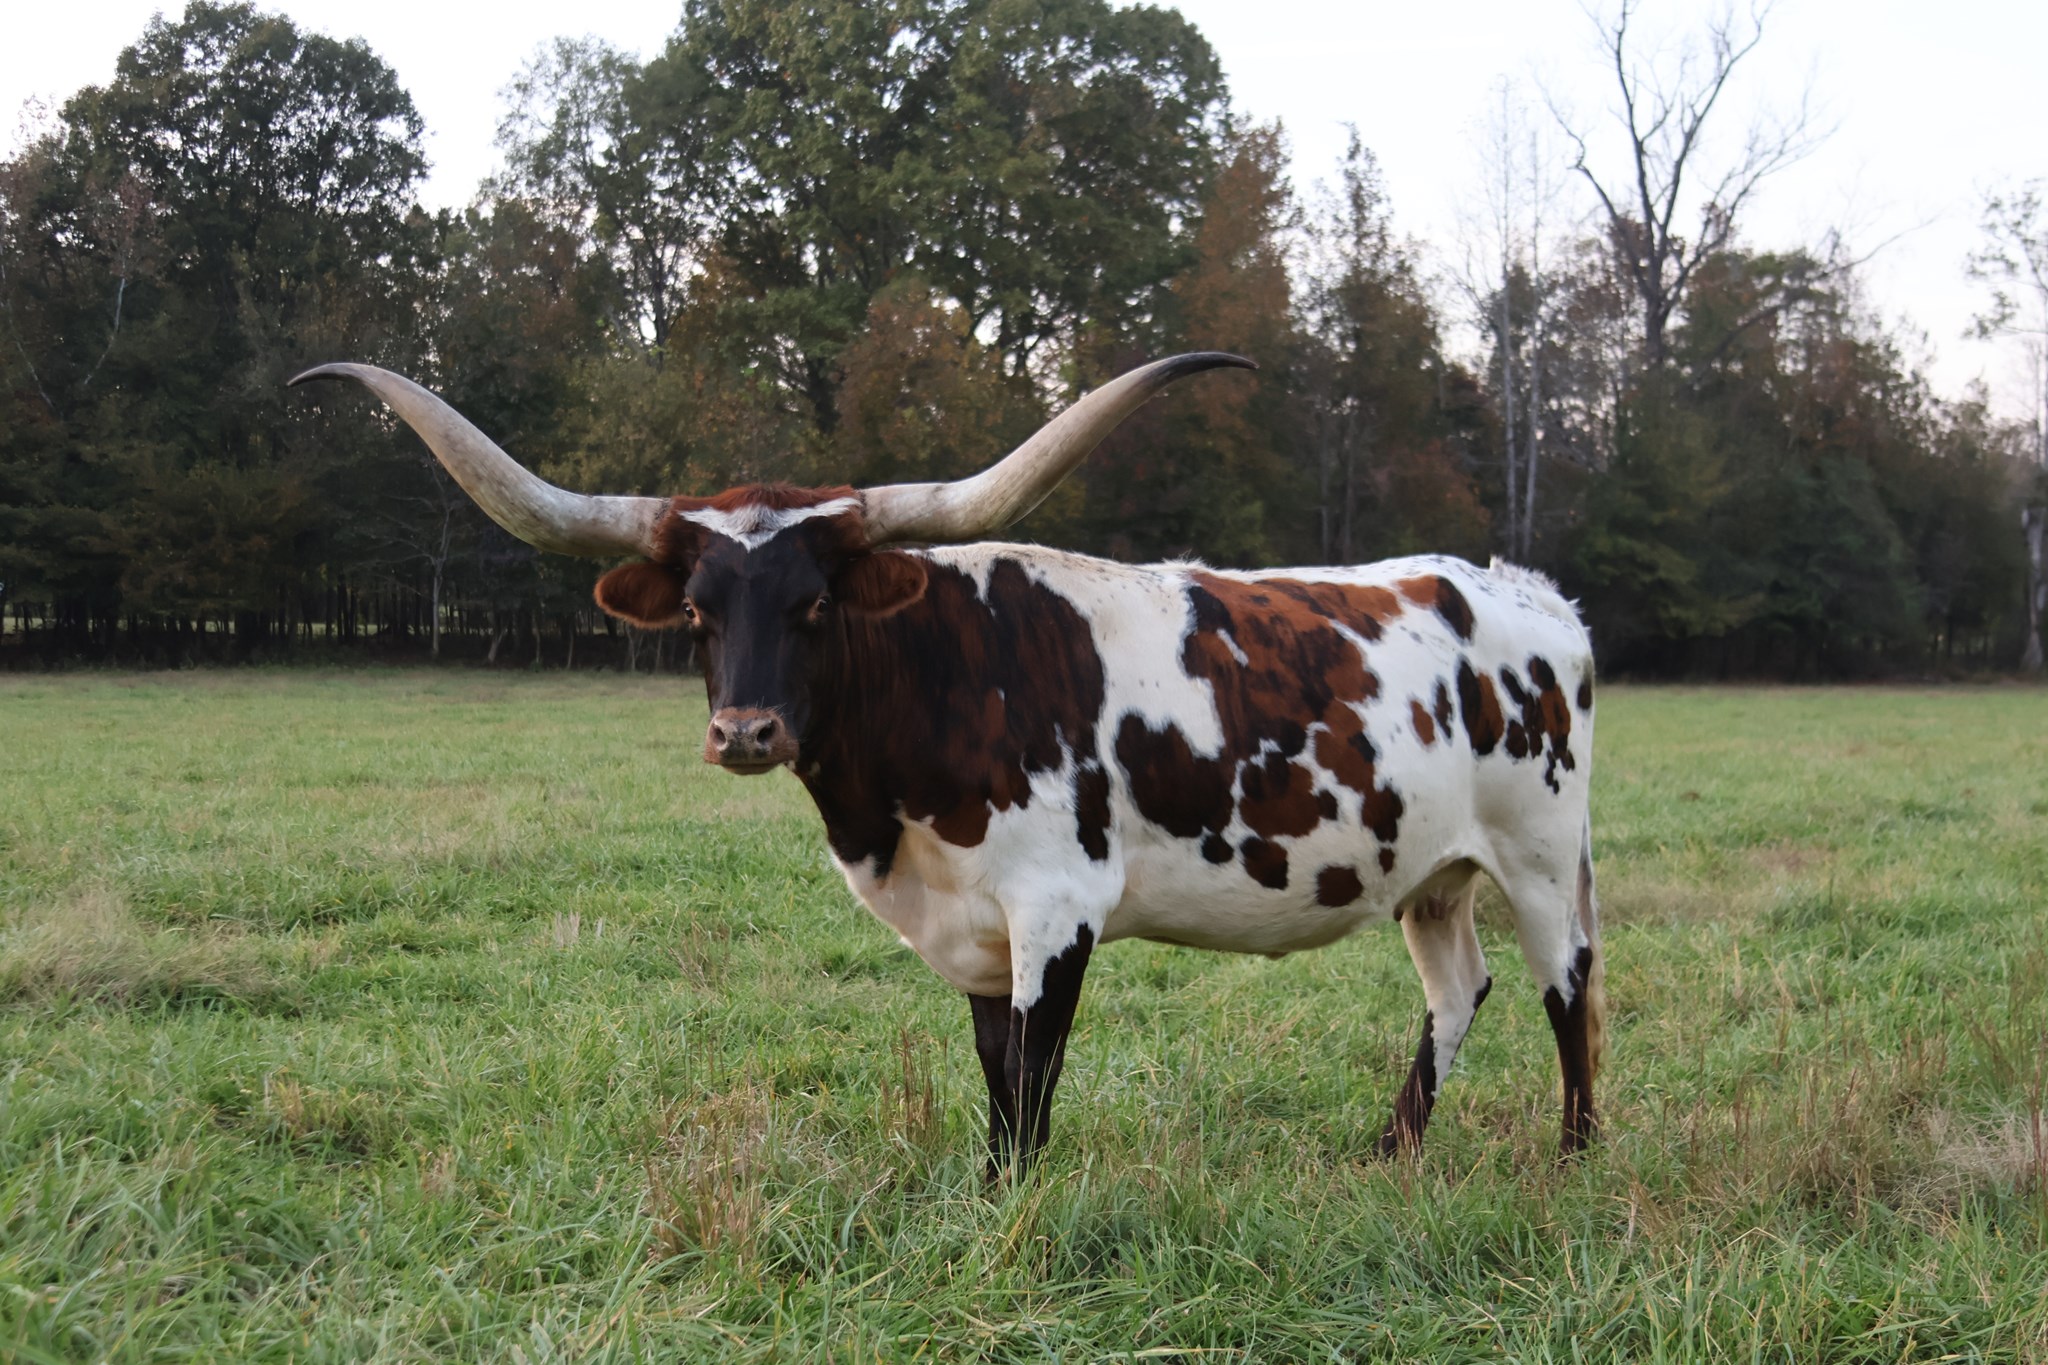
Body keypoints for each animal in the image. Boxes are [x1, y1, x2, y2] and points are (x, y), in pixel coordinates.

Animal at [291, 354, 1606, 1175]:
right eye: (701, 611)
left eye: (816, 604)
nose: (745, 733)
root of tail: (1522, 587)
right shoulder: (971, 932)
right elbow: (992, 1078)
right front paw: (986, 1199)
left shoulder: (1056, 911)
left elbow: (1032, 1083)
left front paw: (1010, 1205)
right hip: (1429, 871)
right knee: (1456, 989)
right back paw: (1388, 1154)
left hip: (1541, 856)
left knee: (1566, 989)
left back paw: (1572, 1160)